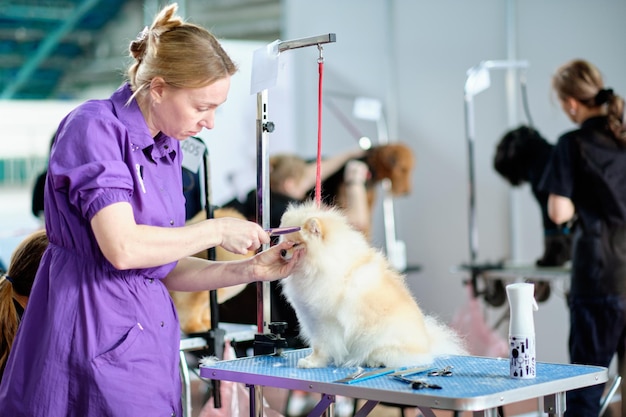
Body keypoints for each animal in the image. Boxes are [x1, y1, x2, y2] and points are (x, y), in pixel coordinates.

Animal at [278, 202, 464, 368]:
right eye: (283, 242)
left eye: (295, 244)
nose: (282, 252)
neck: (317, 265)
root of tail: (427, 344)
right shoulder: (311, 318)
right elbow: (318, 344)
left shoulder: (324, 321)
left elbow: (321, 346)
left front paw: (313, 362)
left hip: (379, 338)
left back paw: (373, 361)